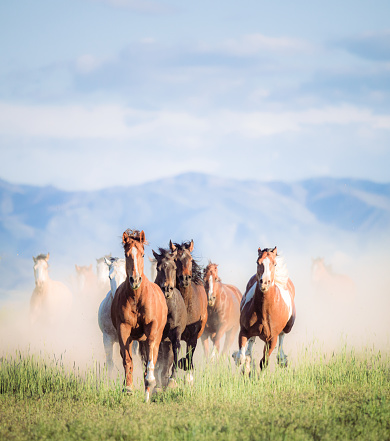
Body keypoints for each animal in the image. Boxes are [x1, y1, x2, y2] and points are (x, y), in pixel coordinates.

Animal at [109, 229, 168, 400]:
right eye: (127, 254)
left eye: (142, 254)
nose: (135, 280)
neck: (137, 298)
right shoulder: (123, 330)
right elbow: (127, 360)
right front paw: (128, 388)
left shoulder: (152, 330)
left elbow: (151, 358)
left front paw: (150, 382)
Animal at [152, 246, 187, 386]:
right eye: (158, 268)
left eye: (174, 267)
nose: (167, 289)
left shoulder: (175, 331)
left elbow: (176, 348)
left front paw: (172, 379)